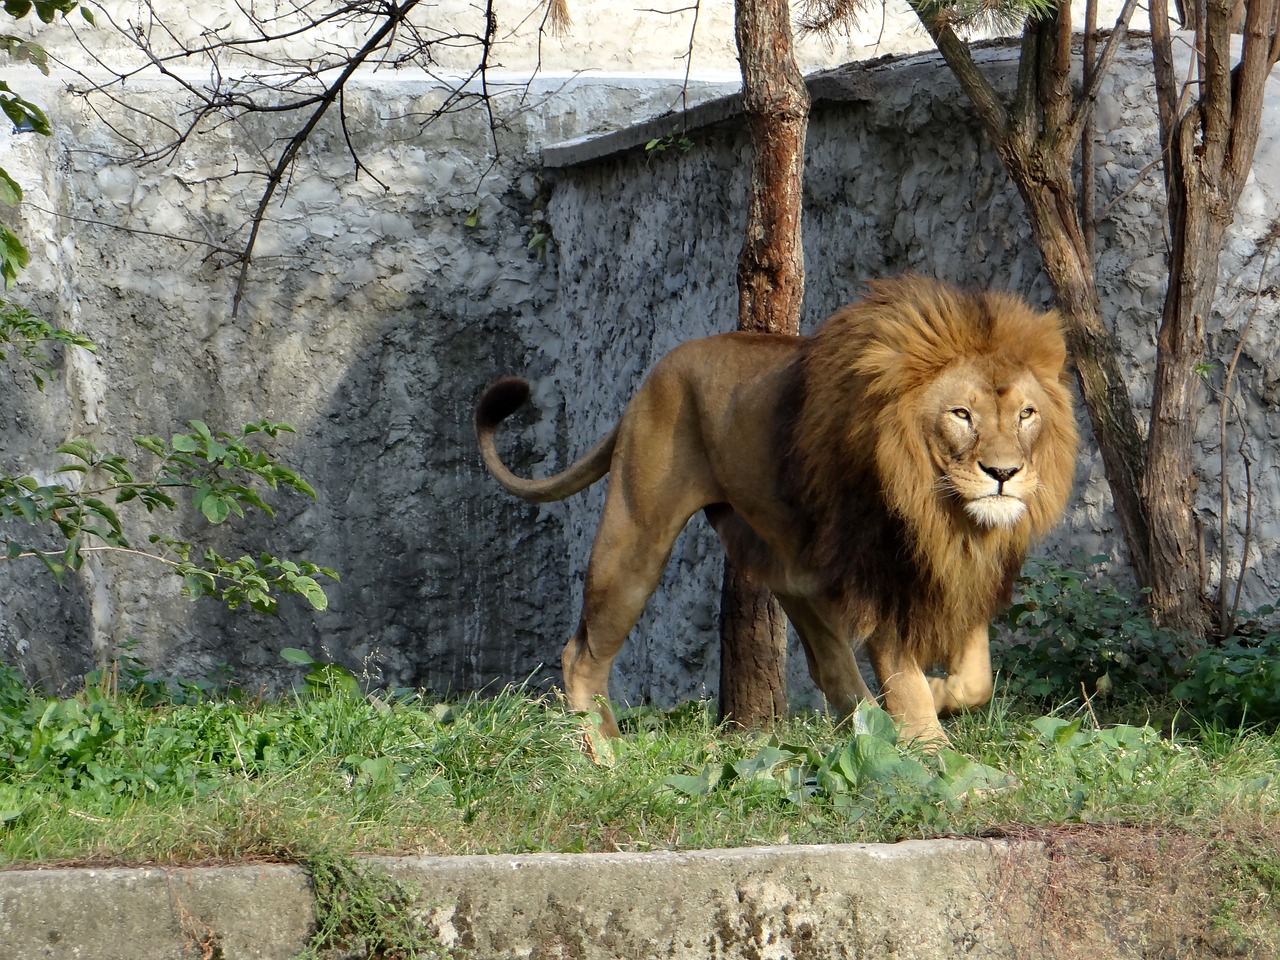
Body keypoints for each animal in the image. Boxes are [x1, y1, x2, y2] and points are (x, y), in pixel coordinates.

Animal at [476, 273, 1075, 747]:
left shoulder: (962, 568)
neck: (941, 509)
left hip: (792, 568)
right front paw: (935, 757)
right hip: (637, 534)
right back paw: (602, 757)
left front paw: (935, 703)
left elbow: (976, 682)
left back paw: (872, 729)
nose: (1004, 474)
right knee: (581, 653)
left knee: (831, 671)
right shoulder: (877, 570)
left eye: (1025, 414)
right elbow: (906, 681)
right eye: (961, 414)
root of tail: (647, 383)